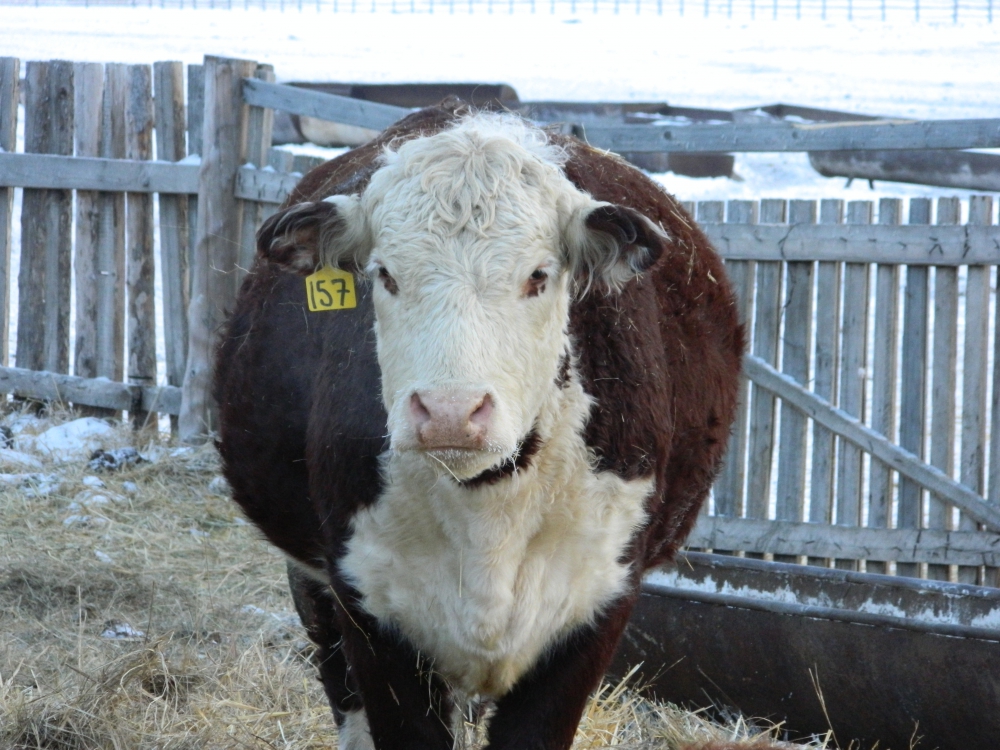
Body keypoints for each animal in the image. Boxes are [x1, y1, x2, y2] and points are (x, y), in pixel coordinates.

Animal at [215, 101, 743, 750]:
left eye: (538, 275)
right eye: (385, 274)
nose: (449, 411)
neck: (489, 505)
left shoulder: (596, 604)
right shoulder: (368, 603)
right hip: (312, 583)